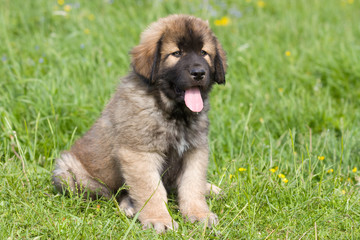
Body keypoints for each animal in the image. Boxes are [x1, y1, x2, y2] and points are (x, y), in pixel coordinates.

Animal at [52, 14, 226, 232]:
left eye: (204, 53)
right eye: (176, 53)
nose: (199, 72)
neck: (171, 112)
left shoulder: (195, 150)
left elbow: (192, 185)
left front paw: (199, 214)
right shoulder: (139, 153)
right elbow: (151, 191)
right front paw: (159, 219)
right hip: (68, 172)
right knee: (114, 194)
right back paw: (129, 206)